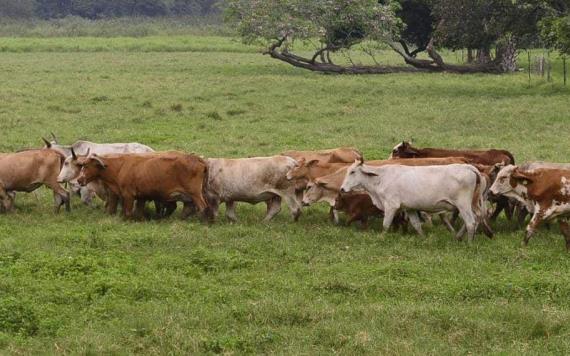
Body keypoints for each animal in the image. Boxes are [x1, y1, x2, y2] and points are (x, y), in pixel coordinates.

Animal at [75, 151, 209, 220]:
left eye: (86, 165)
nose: (79, 180)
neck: (120, 166)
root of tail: (198, 159)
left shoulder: (128, 195)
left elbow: (128, 212)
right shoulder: (141, 197)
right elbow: (138, 212)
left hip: (195, 194)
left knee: (203, 207)